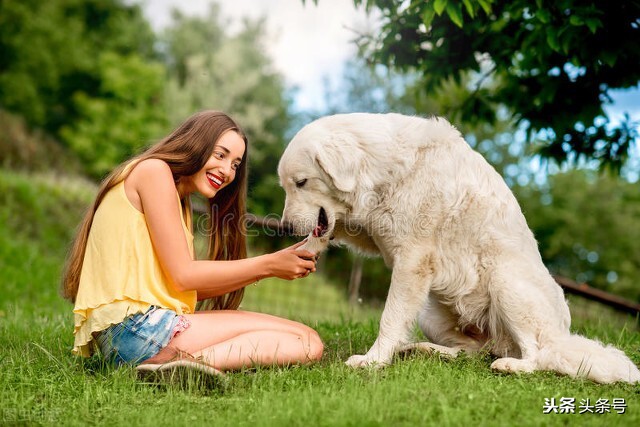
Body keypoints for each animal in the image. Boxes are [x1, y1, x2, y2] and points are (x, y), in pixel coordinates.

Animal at [278, 111, 640, 384]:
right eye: (287, 186)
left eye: (301, 183)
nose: (286, 227)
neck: (387, 169)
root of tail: (563, 335)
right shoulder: (375, 232)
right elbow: (336, 227)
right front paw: (307, 248)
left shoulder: (412, 261)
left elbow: (389, 318)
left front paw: (373, 360)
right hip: (431, 314)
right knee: (472, 352)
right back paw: (426, 351)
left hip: (505, 285)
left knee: (540, 354)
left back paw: (512, 366)